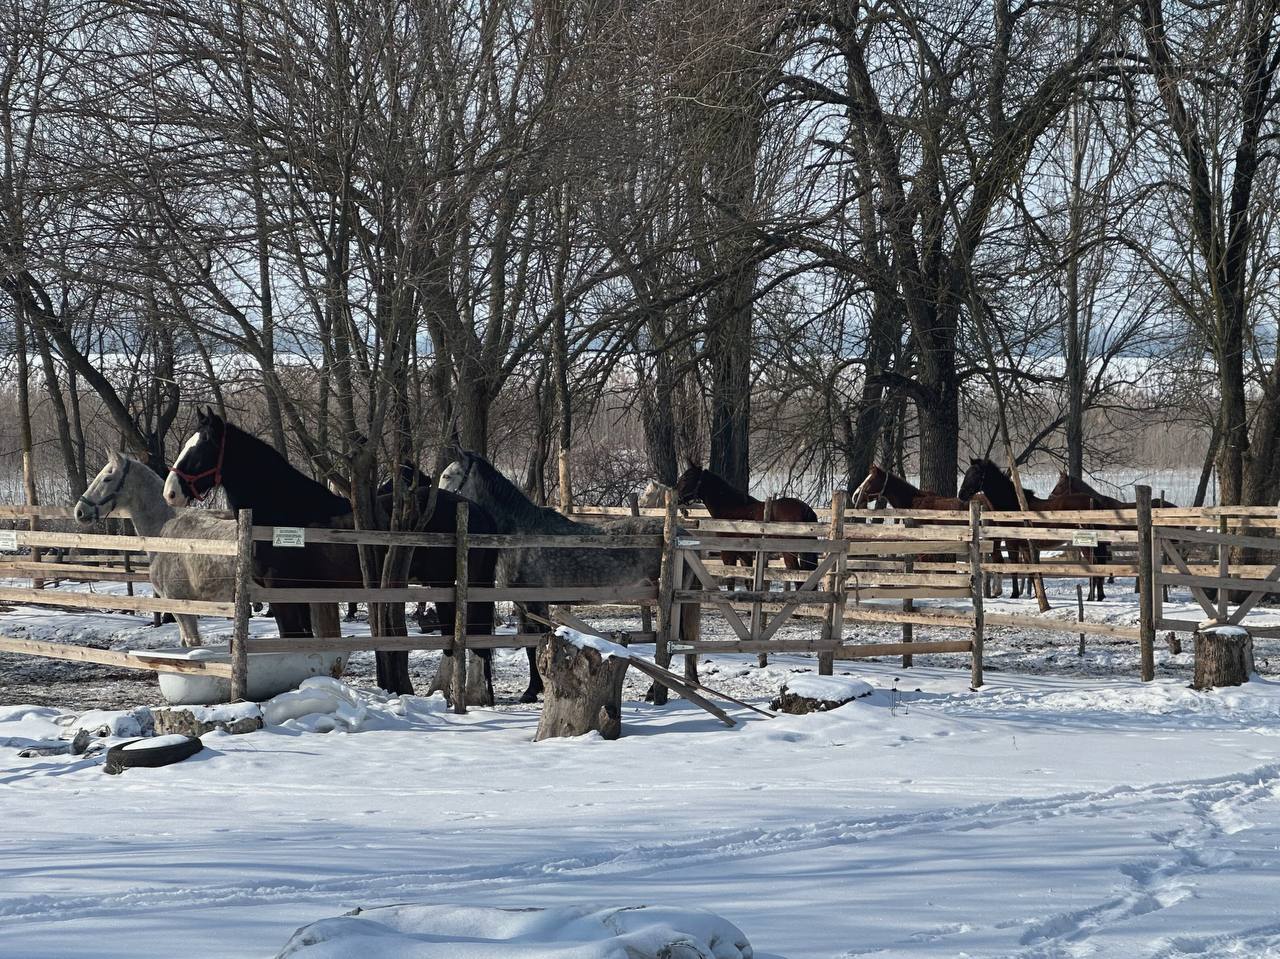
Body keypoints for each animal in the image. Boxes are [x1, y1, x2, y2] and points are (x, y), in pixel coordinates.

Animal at [161, 407, 499, 701]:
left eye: (203, 446)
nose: (171, 492)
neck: (283, 512)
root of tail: (477, 511)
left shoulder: (281, 591)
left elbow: (293, 639)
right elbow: (297, 641)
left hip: (446, 585)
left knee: (466, 640)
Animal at [670, 460, 819, 576]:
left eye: (687, 478)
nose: (677, 497)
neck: (732, 509)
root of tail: (805, 509)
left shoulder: (728, 553)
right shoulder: (744, 555)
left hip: (790, 554)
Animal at [962, 455, 1111, 599]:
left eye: (976, 473)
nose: (961, 494)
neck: (1015, 507)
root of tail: (1094, 502)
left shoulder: (1012, 543)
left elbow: (1015, 567)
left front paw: (1014, 594)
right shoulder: (1026, 547)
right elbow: (1031, 571)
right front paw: (1035, 596)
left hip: (1085, 544)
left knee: (1096, 564)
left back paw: (1092, 597)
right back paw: (1099, 596)